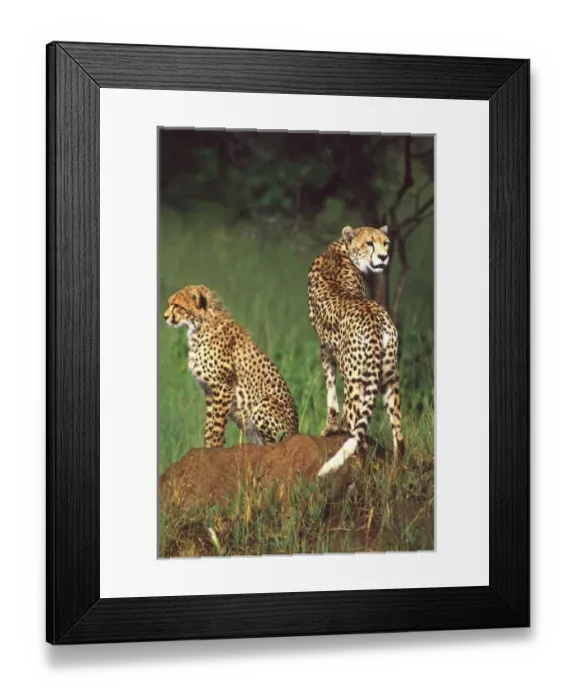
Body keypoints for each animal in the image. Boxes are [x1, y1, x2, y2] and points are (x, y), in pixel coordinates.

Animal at [164, 285, 299, 448]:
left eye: (176, 306)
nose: (164, 316)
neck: (199, 326)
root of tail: (297, 432)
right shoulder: (210, 390)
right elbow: (209, 426)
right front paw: (207, 448)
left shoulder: (223, 388)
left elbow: (217, 427)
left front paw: (215, 447)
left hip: (263, 404)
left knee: (272, 444)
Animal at [308, 225, 405, 477]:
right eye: (370, 243)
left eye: (386, 243)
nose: (384, 257)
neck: (342, 248)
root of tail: (374, 319)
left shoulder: (325, 349)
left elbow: (330, 392)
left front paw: (330, 429)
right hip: (390, 377)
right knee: (399, 436)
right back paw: (396, 472)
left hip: (355, 380)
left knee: (358, 433)